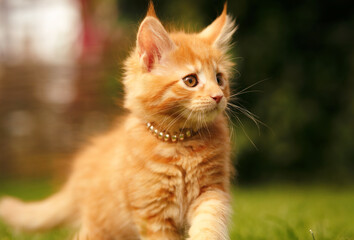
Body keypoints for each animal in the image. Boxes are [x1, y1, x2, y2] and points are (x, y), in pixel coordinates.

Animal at [1, 2, 238, 240]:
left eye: (219, 79)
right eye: (191, 81)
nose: (218, 96)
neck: (179, 141)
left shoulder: (212, 191)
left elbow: (209, 223)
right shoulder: (152, 213)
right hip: (101, 226)